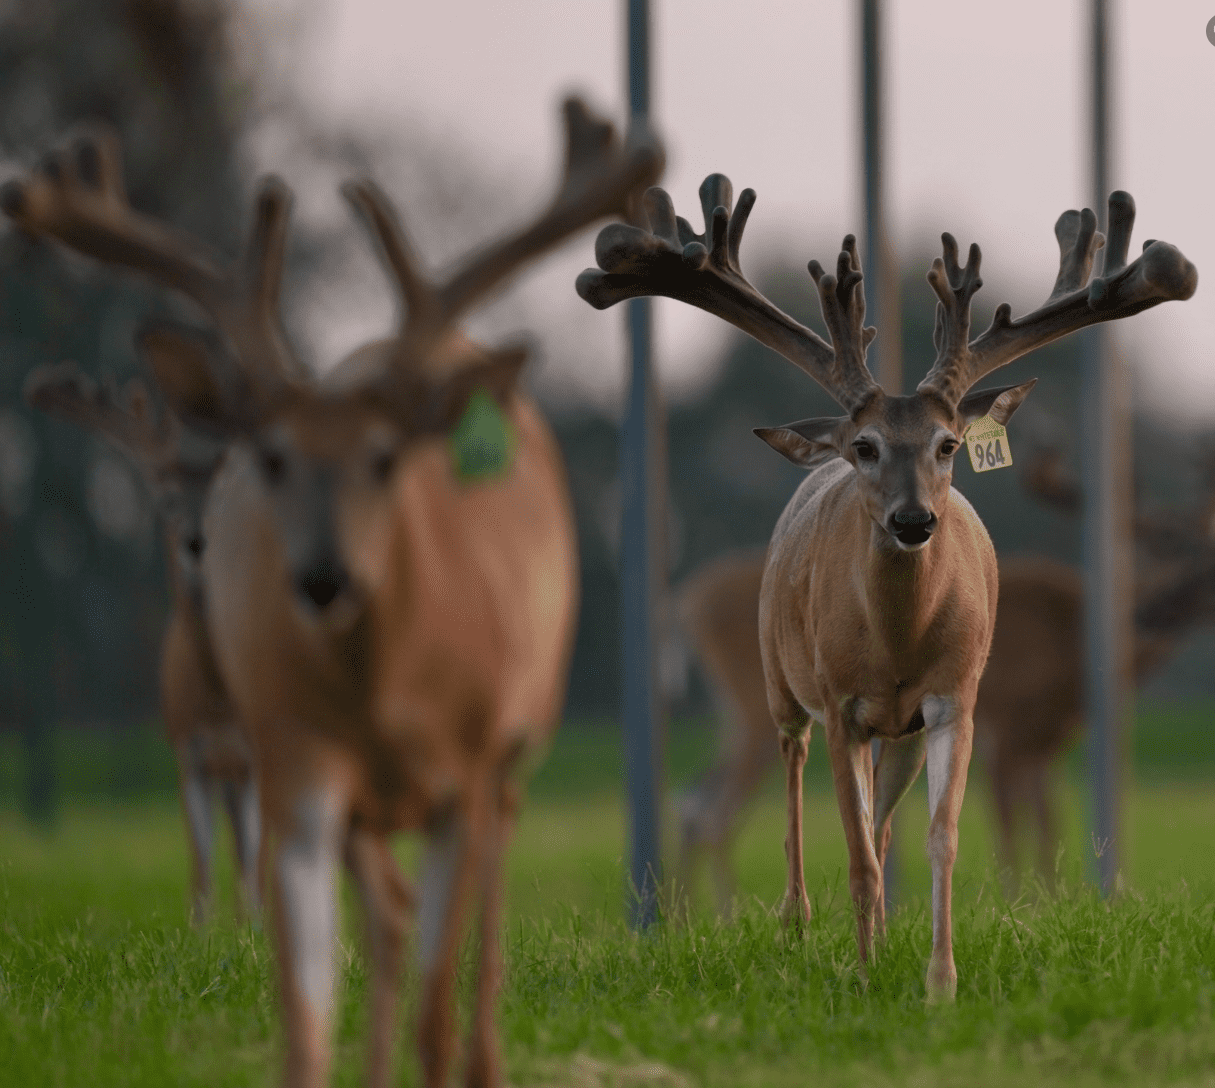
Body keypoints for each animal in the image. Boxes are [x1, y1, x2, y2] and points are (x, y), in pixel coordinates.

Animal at [23, 361, 258, 924]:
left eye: (216, 499)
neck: (217, 699)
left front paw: (253, 927)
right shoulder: (185, 750)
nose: (196, 541)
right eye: (164, 500)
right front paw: (202, 929)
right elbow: (200, 865)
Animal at [578, 173, 1196, 999]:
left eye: (948, 444)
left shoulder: (957, 699)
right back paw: (794, 921)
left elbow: (937, 837)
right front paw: (869, 976)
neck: (898, 645)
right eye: (866, 446)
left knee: (865, 817)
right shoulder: (844, 703)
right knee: (772, 786)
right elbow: (858, 855)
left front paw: (938, 981)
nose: (913, 521)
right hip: (773, 685)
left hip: (890, 732)